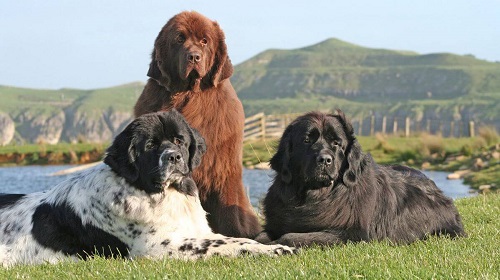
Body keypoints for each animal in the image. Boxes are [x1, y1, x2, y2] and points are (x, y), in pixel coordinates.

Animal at [0, 110, 294, 266]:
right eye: (150, 145)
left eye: (179, 140)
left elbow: (232, 238)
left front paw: (274, 246)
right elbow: (222, 243)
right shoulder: (159, 246)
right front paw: (276, 250)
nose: (173, 156)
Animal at [256, 110, 466, 246]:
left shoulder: (352, 233)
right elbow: (261, 235)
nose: (325, 159)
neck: (314, 197)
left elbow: (292, 236)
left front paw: (278, 243)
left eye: (336, 143)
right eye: (307, 140)